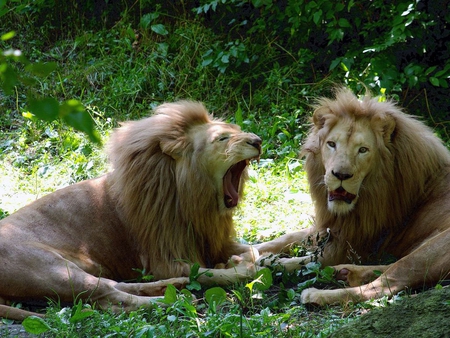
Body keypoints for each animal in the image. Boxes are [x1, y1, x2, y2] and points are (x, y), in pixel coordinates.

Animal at [0, 99, 262, 320]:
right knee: (111, 299)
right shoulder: (165, 260)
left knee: (114, 287)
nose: (257, 141)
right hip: (55, 270)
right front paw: (242, 264)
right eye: (222, 138)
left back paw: (173, 286)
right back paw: (174, 299)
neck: (192, 197)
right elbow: (214, 273)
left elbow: (254, 249)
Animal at [256, 87, 450, 306]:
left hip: (434, 247)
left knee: (385, 285)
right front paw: (253, 248)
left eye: (363, 150)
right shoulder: (333, 226)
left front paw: (268, 262)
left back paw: (316, 294)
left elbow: (307, 260)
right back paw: (343, 272)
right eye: (331, 144)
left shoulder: (352, 243)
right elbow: (287, 237)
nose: (340, 175)